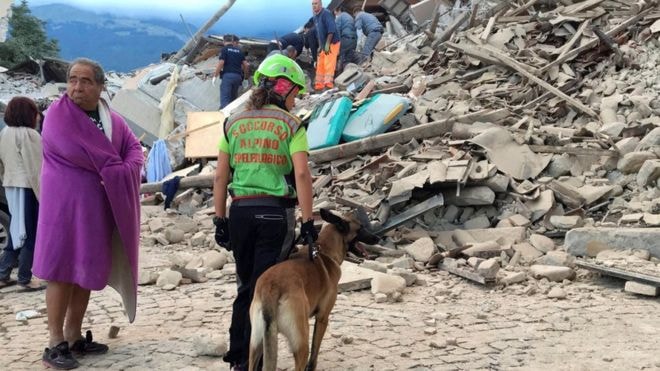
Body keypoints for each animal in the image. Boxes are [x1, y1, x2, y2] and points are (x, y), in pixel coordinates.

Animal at [249, 209, 382, 371]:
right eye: (361, 228)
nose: (378, 238)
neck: (324, 250)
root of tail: (271, 287)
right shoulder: (322, 318)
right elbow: (314, 354)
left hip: (256, 345)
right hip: (301, 343)